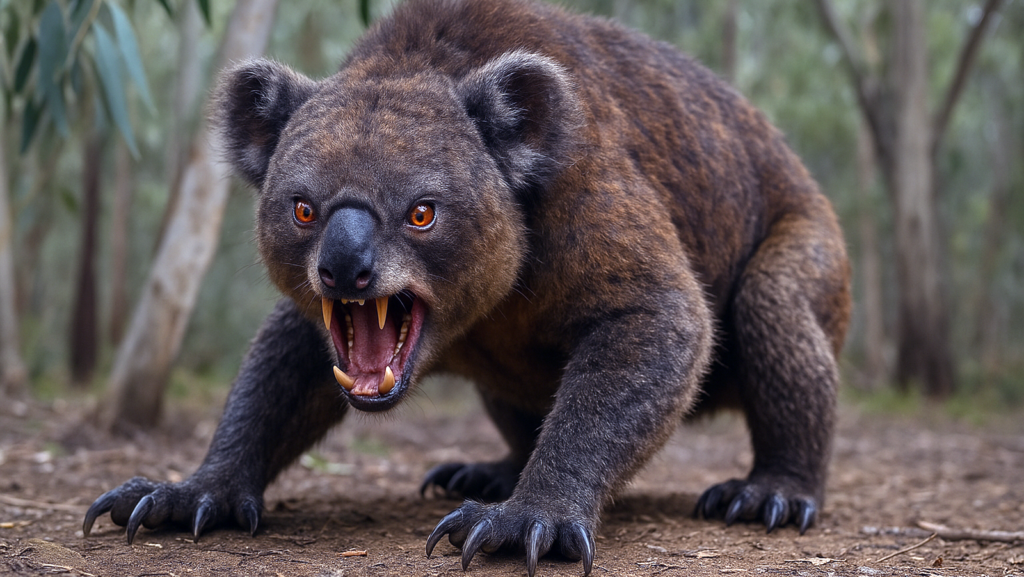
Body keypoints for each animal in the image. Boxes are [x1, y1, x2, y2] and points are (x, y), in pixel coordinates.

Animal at [84, 0, 851, 575]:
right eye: (302, 209)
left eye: (422, 212)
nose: (344, 267)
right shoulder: (318, 323)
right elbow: (278, 375)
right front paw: (189, 493)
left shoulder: (590, 197)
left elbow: (659, 316)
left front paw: (527, 519)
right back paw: (488, 469)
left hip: (809, 248)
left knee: (772, 307)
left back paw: (771, 493)